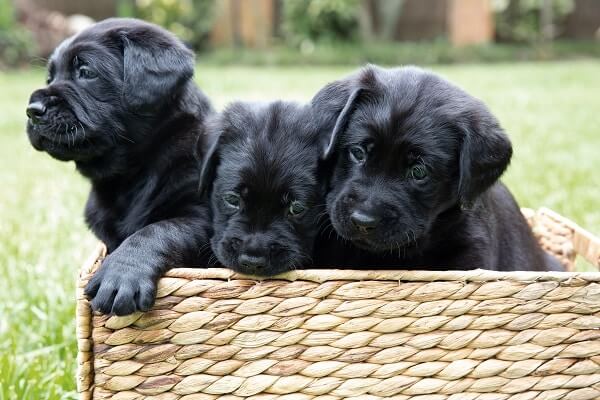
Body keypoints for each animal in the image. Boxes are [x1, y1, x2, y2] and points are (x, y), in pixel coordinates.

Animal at [26, 18, 218, 316]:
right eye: (50, 78)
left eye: (85, 72)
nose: (32, 109)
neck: (129, 175)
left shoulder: (205, 218)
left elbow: (157, 230)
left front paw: (120, 275)